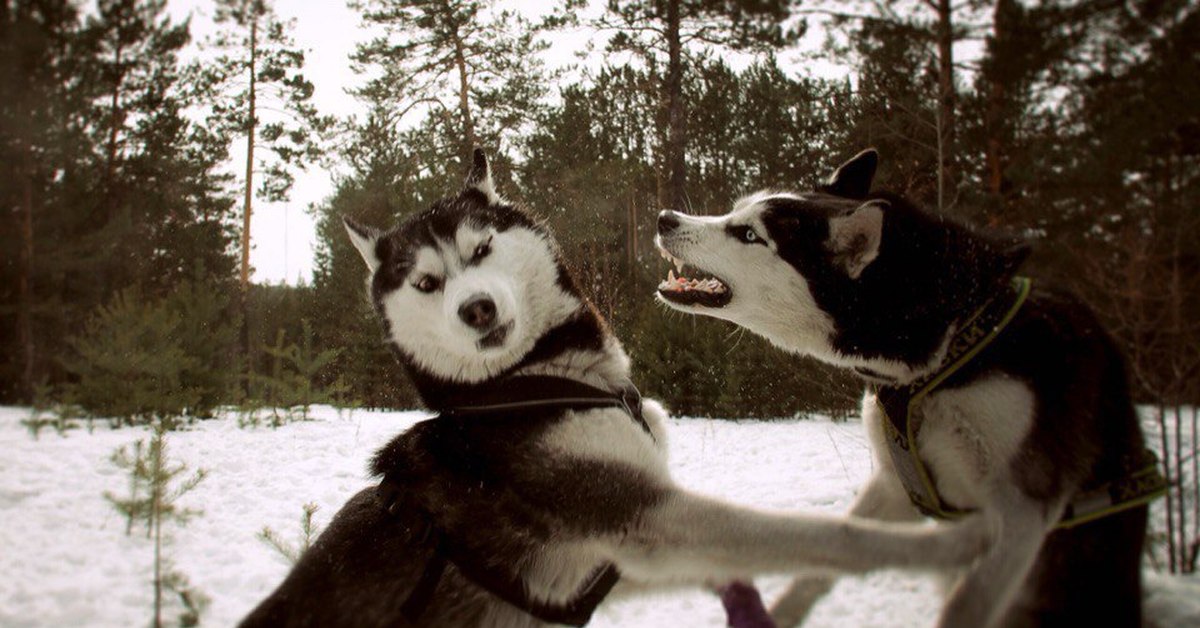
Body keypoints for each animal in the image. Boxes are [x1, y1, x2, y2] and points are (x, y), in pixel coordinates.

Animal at [238, 150, 988, 624]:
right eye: (425, 283)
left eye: (480, 250)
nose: (475, 308)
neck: (537, 383)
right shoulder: (641, 517)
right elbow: (822, 534)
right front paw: (946, 549)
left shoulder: (605, 567)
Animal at [657, 148, 1161, 628]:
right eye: (734, 210)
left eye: (749, 235)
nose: (665, 218)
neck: (957, 335)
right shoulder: (895, 482)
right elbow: (827, 560)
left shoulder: (1023, 512)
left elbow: (965, 604)